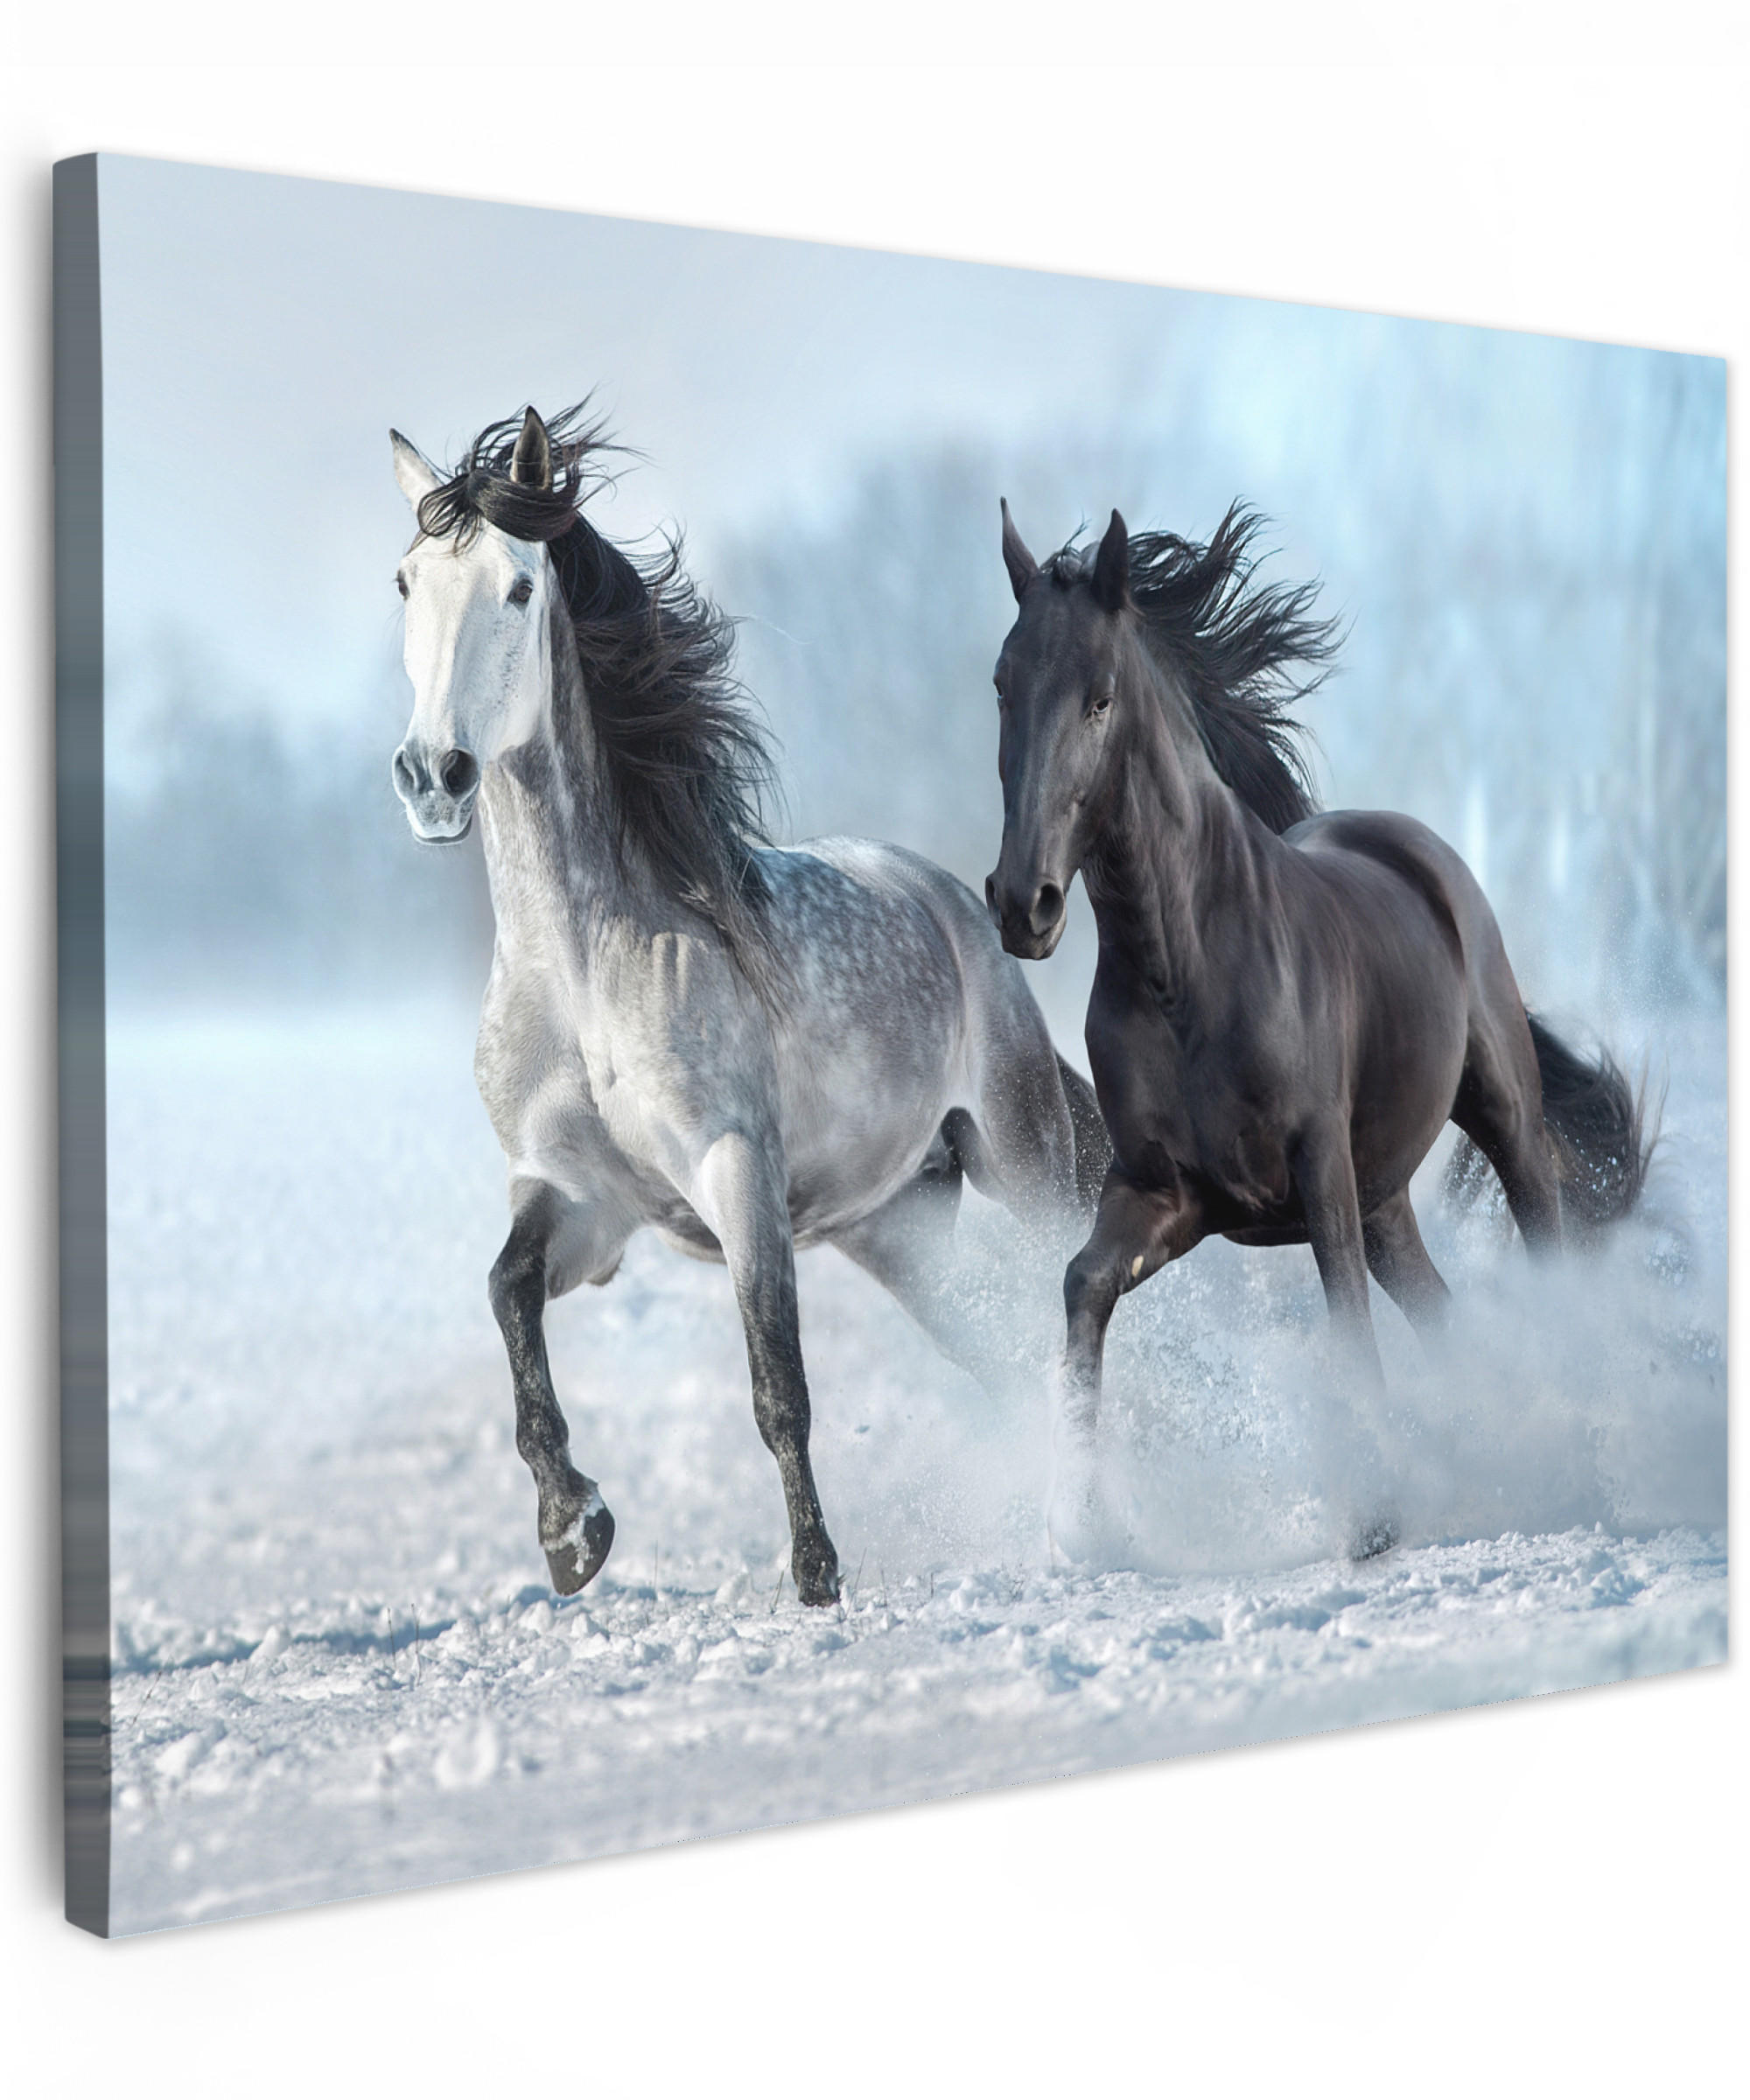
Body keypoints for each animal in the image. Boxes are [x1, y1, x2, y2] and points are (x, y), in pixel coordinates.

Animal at [386, 405, 1108, 1607]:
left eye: (519, 588)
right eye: (405, 582)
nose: (431, 775)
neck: (581, 970)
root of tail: (957, 905)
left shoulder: (737, 1175)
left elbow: (778, 1385)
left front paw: (814, 1577)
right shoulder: (578, 1198)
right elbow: (506, 1296)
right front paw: (572, 1531)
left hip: (1022, 1159)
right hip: (895, 1227)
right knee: (1002, 1348)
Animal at [984, 499, 1650, 1557]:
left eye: (1098, 698)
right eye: (1003, 686)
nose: (1024, 904)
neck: (1186, 972)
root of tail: (1416, 848)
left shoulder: (1316, 1172)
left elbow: (1344, 1327)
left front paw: (1374, 1518)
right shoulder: (1167, 1193)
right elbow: (1082, 1286)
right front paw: (1079, 1525)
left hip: (1495, 1115)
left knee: (1542, 1245)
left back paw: (1574, 1465)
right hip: (1385, 1199)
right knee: (1441, 1312)